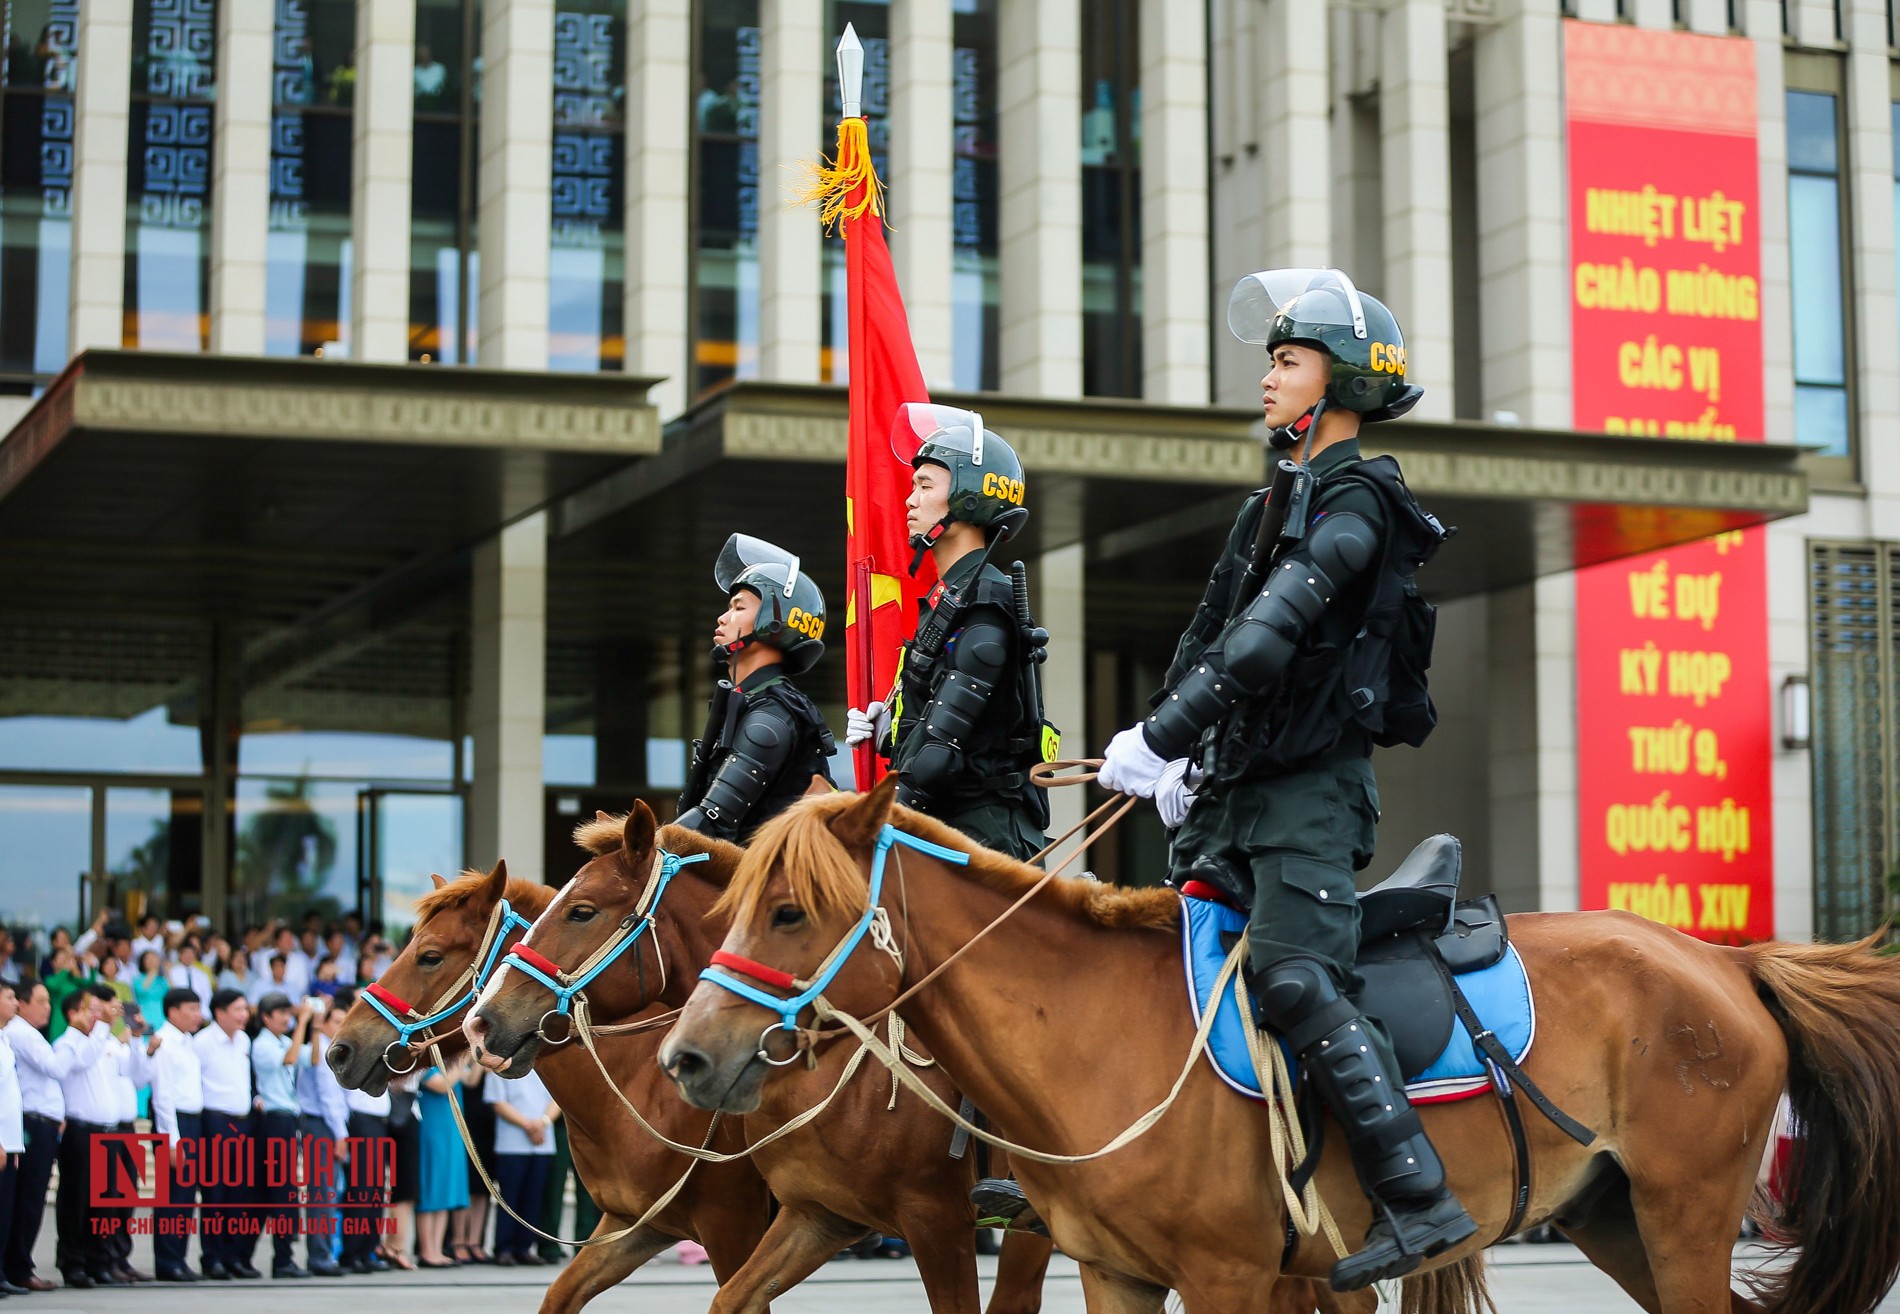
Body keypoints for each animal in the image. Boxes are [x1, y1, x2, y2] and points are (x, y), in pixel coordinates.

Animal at [324, 862, 771, 1314]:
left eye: (429, 956)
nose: (340, 1051)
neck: (643, 1082)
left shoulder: (732, 1226)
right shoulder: (636, 1223)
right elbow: (561, 1293)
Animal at [661, 778, 1900, 1314]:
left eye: (787, 911)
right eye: (731, 908)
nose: (689, 1057)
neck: (1092, 1037)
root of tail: (1726, 962)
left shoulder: (1228, 1276)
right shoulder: (1117, 1276)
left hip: (1685, 1213)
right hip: (1612, 1216)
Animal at [1102, 269, 1466, 1291]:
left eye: (1292, 355)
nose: (1269, 387)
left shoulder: (1348, 520)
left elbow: (1258, 634)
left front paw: (1140, 755)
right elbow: (1212, 621)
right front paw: (1166, 774)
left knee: (1307, 986)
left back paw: (1422, 1215)